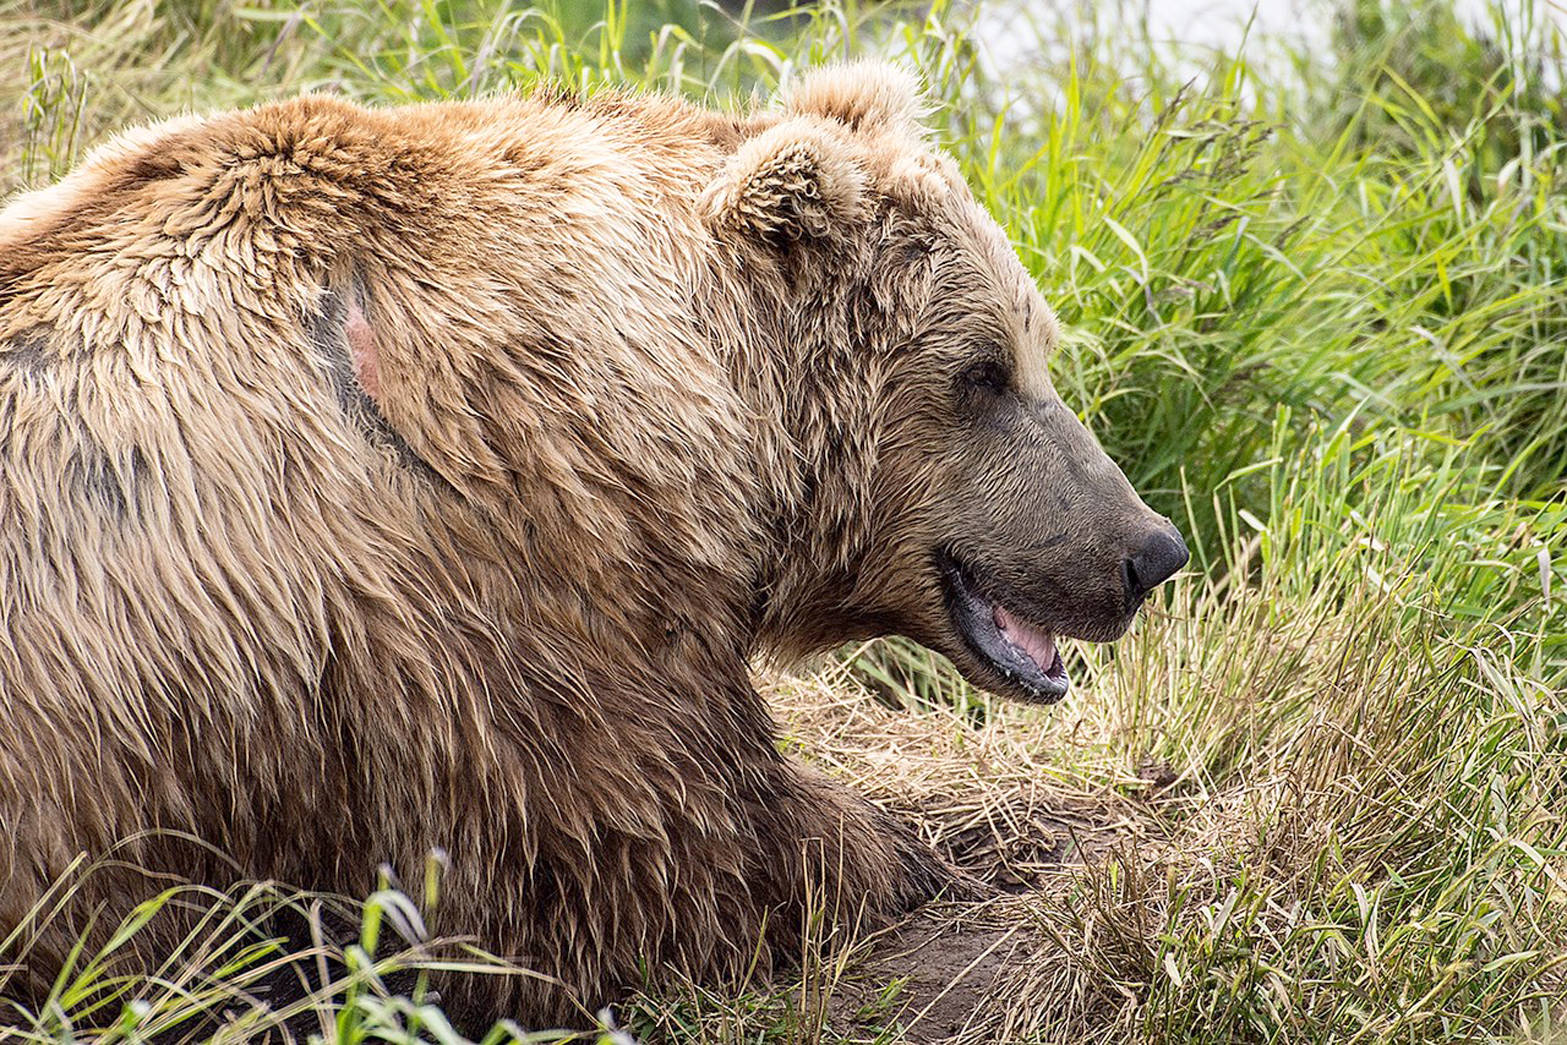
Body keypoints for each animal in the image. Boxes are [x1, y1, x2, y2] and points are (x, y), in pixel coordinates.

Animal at [0, 63, 1178, 1027]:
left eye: (1037, 343)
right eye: (983, 371)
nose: (1148, 549)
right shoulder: (506, 588)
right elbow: (658, 845)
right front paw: (896, 854)